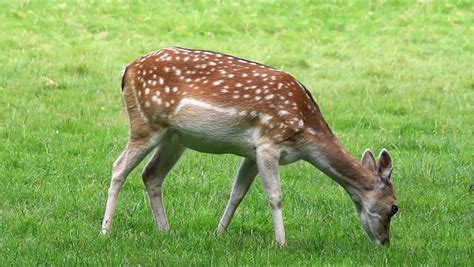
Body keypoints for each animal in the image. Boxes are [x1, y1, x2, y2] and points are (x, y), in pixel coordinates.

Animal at [102, 47, 398, 247]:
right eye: (395, 207)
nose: (384, 242)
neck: (306, 133)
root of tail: (126, 70)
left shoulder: (251, 152)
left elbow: (237, 193)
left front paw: (218, 233)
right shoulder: (269, 143)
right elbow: (275, 195)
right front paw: (281, 243)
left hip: (175, 138)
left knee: (151, 174)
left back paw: (166, 230)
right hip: (146, 123)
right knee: (119, 167)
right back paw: (106, 230)